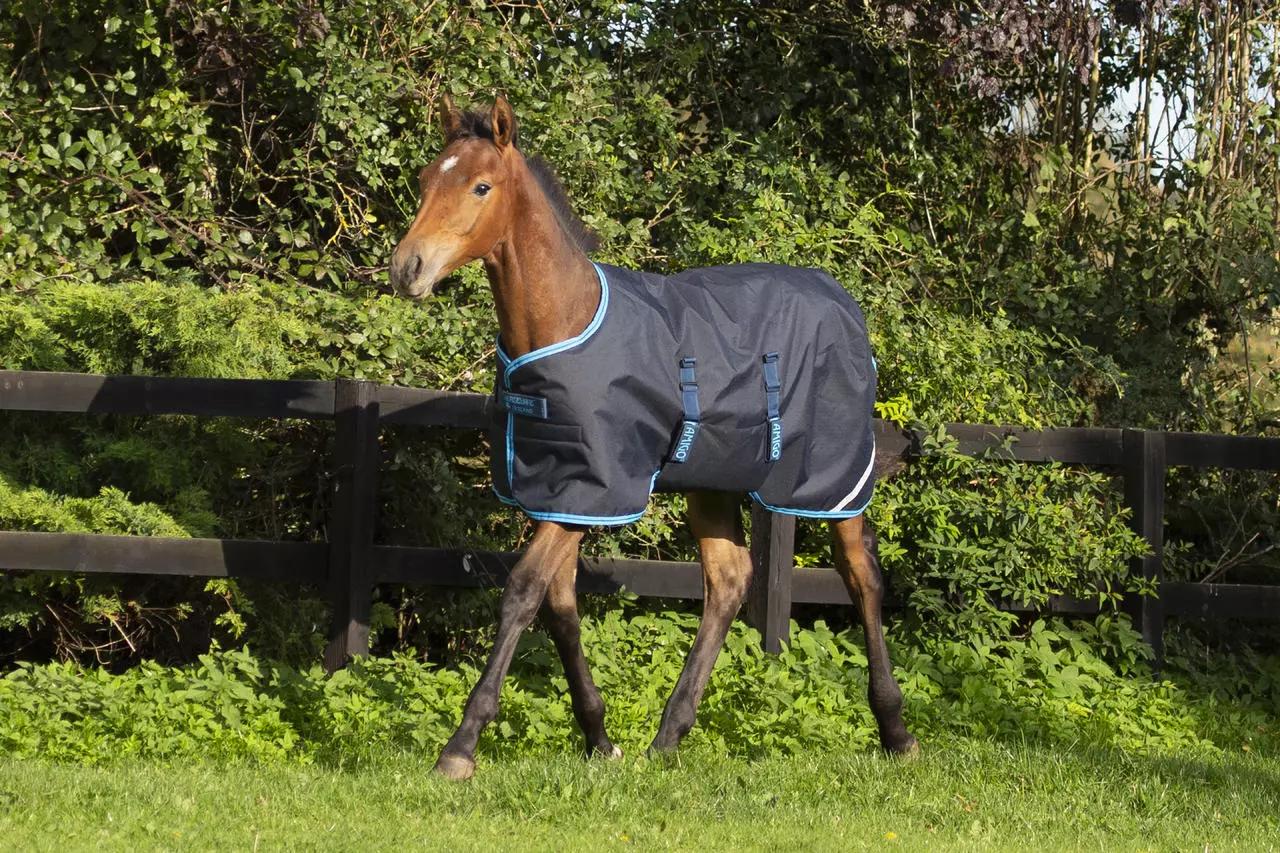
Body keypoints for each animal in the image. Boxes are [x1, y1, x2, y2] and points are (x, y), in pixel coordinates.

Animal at [390, 95, 918, 780]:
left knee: (861, 577)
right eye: (427, 179)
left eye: (481, 186)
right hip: (712, 482)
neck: (564, 322)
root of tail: (845, 304)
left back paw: (896, 731)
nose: (408, 268)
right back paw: (669, 735)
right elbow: (559, 603)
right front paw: (599, 737)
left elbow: (523, 592)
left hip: (833, 479)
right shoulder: (561, 490)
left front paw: (460, 748)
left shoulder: (595, 488)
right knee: (729, 580)